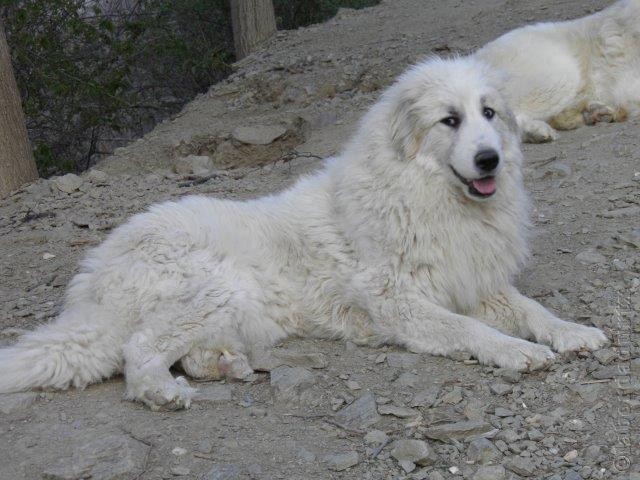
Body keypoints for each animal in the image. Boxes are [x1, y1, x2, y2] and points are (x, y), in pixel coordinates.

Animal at [0, 56, 604, 408]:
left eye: (489, 113)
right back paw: (165, 393)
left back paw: (223, 364)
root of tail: (91, 281)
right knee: (137, 349)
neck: (431, 197)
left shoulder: (475, 281)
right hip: (215, 285)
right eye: (449, 120)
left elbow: (531, 309)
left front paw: (572, 331)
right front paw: (515, 351)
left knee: (172, 348)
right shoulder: (400, 302)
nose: (489, 160)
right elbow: (468, 329)